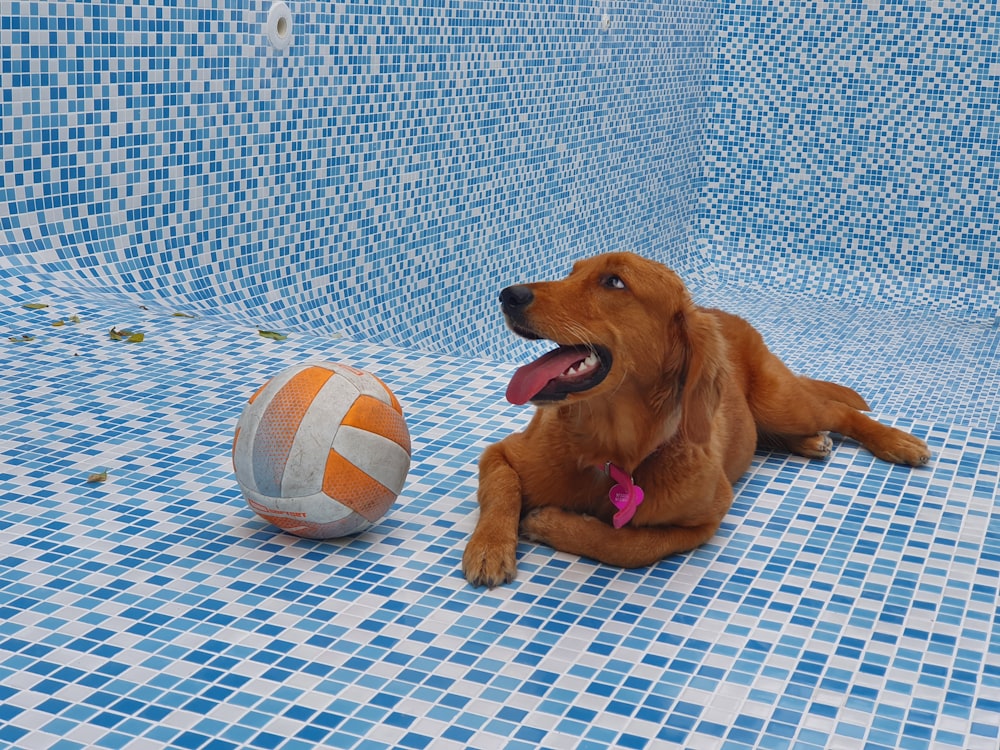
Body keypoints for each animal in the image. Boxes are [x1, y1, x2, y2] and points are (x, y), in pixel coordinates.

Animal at [464, 253, 932, 588]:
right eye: (572, 272)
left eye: (614, 282)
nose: (508, 294)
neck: (612, 452)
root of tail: (722, 313)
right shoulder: (502, 452)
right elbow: (502, 489)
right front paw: (490, 547)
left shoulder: (708, 515)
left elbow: (626, 544)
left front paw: (552, 523)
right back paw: (812, 442)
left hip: (783, 402)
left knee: (839, 410)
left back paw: (897, 442)